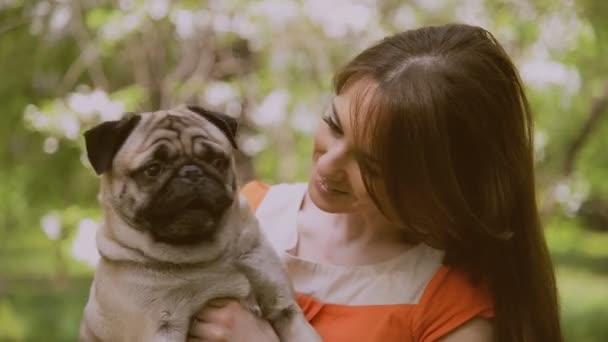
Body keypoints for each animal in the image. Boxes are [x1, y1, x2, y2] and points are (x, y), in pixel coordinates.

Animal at [78, 105, 320, 342]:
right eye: (152, 169)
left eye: (216, 161)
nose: (191, 172)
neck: (208, 257)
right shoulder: (161, 330)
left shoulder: (284, 306)